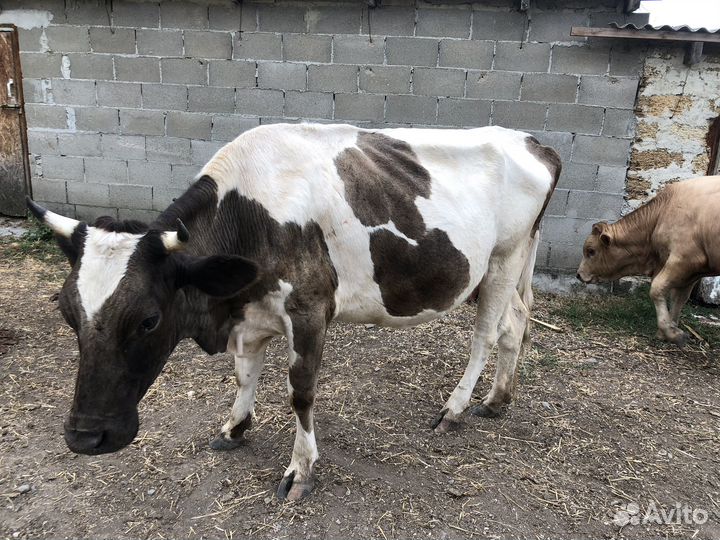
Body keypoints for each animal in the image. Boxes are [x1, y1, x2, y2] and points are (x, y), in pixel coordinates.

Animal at [29, 123, 560, 501]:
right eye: (66, 312)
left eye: (148, 319)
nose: (85, 437)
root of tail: (532, 141)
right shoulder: (249, 313)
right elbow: (244, 375)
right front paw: (235, 427)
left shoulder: (309, 309)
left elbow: (299, 393)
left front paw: (300, 469)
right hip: (504, 266)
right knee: (516, 324)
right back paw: (498, 399)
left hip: (503, 257)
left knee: (486, 335)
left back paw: (455, 408)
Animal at [577, 175, 720, 346]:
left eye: (591, 251)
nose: (578, 274)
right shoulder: (693, 272)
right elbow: (678, 299)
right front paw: (670, 329)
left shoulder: (684, 258)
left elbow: (657, 289)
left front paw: (670, 332)